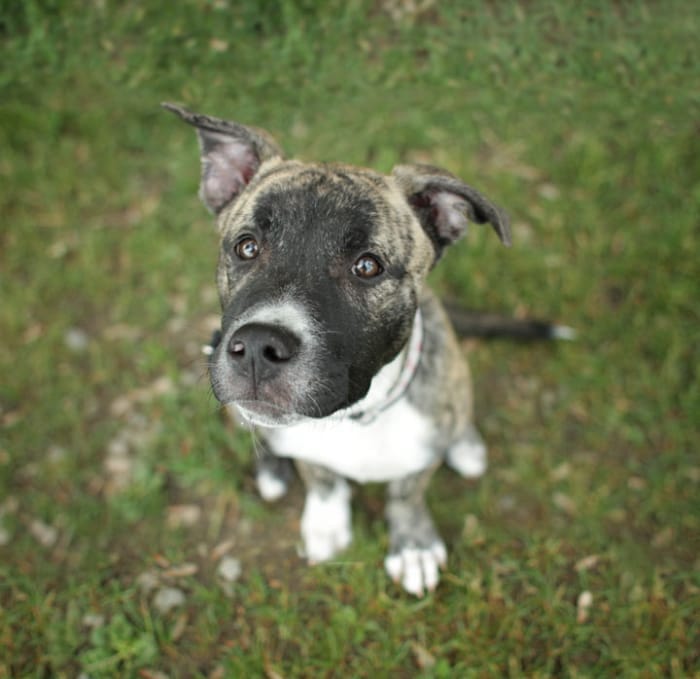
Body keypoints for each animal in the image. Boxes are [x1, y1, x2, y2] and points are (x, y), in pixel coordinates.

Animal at [165, 103, 516, 596]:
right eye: (246, 247)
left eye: (367, 266)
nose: (256, 346)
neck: (357, 417)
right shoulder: (308, 450)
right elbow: (323, 478)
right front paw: (327, 525)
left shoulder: (420, 453)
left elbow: (409, 490)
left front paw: (413, 545)